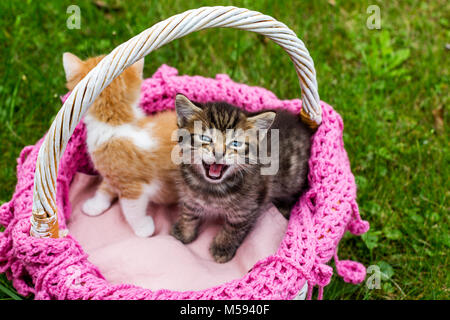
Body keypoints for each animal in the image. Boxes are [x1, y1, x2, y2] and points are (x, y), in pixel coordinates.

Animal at [63, 53, 179, 238]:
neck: (116, 122)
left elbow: (132, 209)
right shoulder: (112, 172)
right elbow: (105, 186)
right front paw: (96, 205)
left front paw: (143, 228)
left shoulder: (132, 186)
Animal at [171, 94, 312, 262]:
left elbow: (234, 227)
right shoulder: (189, 194)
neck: (212, 187)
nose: (219, 153)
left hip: (292, 179)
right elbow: (189, 211)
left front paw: (222, 247)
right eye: (205, 138)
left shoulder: (247, 206)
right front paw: (184, 232)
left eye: (235, 143)